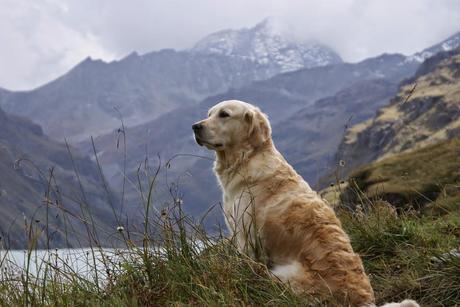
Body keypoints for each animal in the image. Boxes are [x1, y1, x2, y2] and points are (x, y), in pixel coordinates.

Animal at [192, 100, 418, 307]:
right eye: (209, 114)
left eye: (224, 114)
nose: (195, 126)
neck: (246, 158)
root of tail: (362, 301)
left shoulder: (245, 236)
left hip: (282, 274)